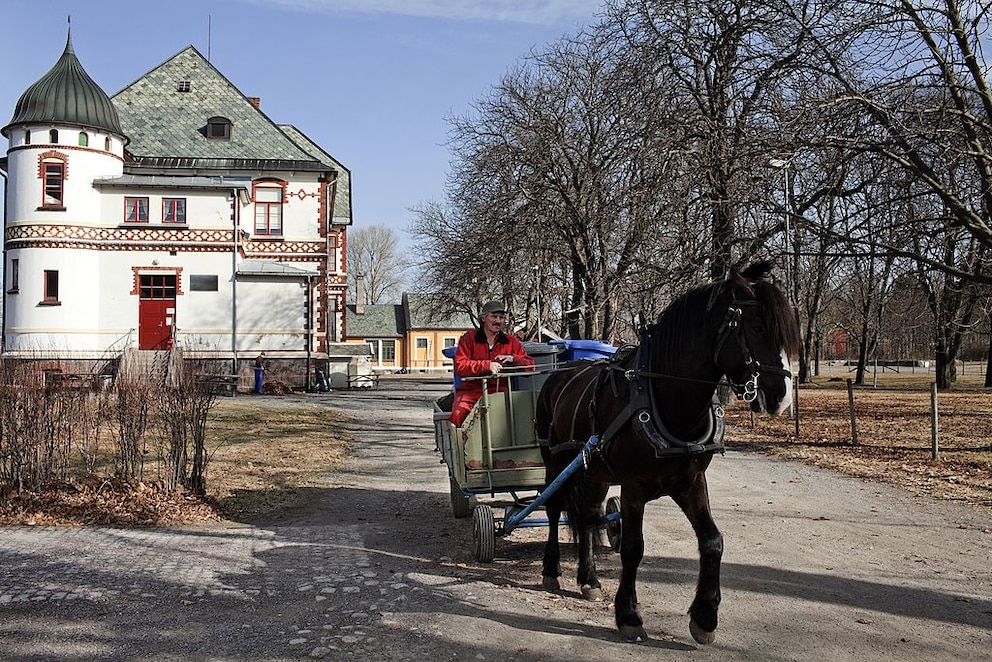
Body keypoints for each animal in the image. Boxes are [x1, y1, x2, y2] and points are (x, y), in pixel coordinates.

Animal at [536, 262, 800, 644]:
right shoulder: (633, 486)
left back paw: (589, 579)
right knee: (555, 507)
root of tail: (559, 374)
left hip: (593, 469)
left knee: (588, 515)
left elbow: (713, 541)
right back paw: (552, 568)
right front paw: (628, 614)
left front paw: (705, 616)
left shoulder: (690, 481)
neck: (665, 396)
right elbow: (634, 548)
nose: (782, 397)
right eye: (757, 326)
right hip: (555, 459)